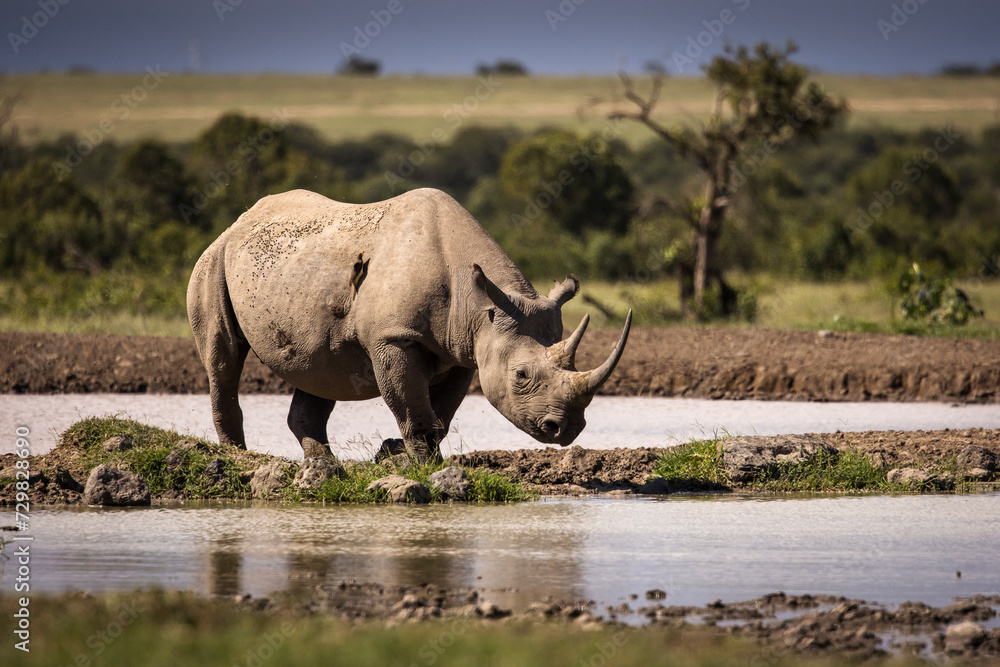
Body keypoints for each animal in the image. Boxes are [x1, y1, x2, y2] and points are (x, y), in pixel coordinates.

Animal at [187, 188, 631, 460]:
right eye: (521, 375)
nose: (567, 429)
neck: (479, 304)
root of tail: (238, 221)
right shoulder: (395, 338)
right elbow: (414, 409)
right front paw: (421, 465)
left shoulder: (464, 350)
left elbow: (442, 415)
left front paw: (394, 456)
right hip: (214, 260)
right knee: (223, 354)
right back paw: (238, 456)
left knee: (318, 365)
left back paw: (326, 468)